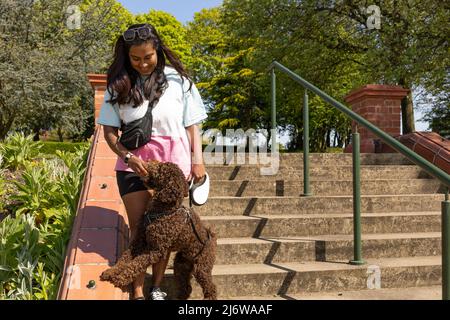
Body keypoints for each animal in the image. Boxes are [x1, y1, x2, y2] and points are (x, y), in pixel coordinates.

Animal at [100, 160, 218, 300]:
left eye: (161, 168)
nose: (149, 160)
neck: (162, 211)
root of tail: (212, 238)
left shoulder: (155, 251)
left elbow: (136, 264)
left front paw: (121, 278)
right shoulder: (139, 242)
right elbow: (125, 258)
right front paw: (111, 272)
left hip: (202, 267)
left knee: (211, 287)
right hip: (181, 265)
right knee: (186, 287)